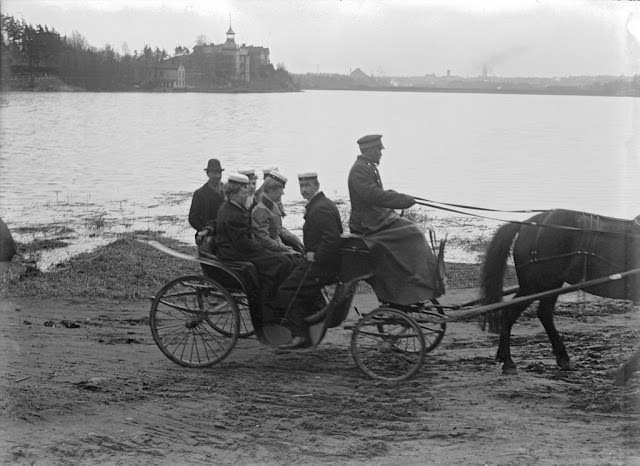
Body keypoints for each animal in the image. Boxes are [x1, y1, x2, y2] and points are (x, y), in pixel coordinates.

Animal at [482, 209, 636, 374]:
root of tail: (528, 223)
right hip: (537, 285)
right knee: (513, 312)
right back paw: (509, 361)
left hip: (547, 285)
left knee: (542, 313)